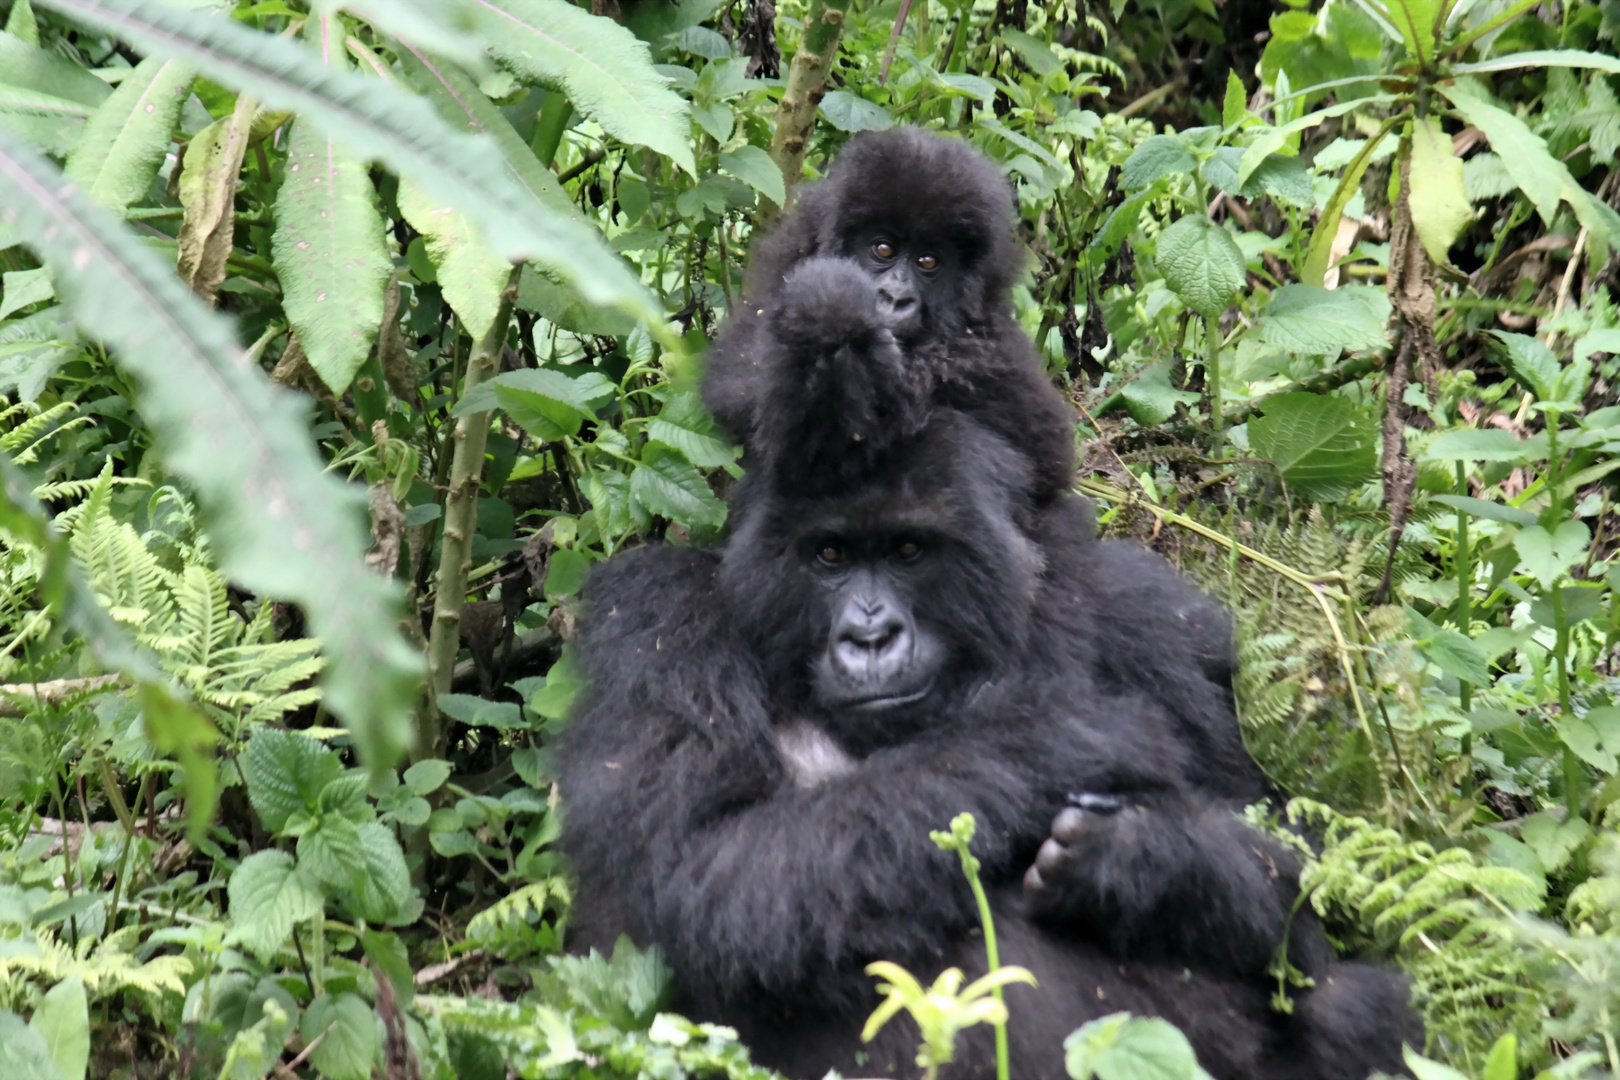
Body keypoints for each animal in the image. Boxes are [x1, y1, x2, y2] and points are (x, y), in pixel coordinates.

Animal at [560, 263, 1419, 1080]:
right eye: (828, 555)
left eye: (909, 550)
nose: (870, 637)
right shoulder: (663, 625)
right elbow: (708, 872)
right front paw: (1064, 736)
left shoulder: (1147, 616)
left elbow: (1300, 880)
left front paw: (1147, 857)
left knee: (1360, 1002)